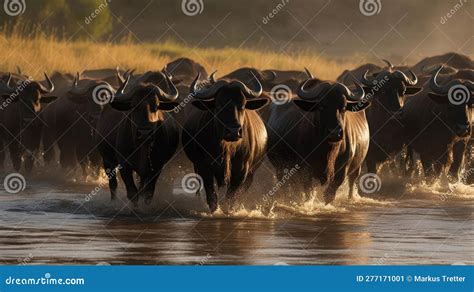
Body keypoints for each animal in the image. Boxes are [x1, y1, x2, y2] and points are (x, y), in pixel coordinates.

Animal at [99, 70, 181, 203]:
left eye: (156, 105)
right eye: (134, 105)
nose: (144, 133)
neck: (142, 146)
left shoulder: (156, 167)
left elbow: (147, 193)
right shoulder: (124, 165)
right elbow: (132, 192)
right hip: (107, 160)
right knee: (113, 184)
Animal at [182, 72, 270, 211]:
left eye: (243, 105)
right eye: (219, 104)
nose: (234, 131)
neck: (226, 147)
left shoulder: (241, 170)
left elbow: (230, 198)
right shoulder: (203, 167)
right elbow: (211, 195)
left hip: (251, 173)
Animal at [266, 70, 370, 204]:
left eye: (343, 107)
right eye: (321, 106)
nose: (334, 133)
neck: (328, 150)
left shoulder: (342, 170)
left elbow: (330, 194)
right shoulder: (303, 170)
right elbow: (307, 192)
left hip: (357, 168)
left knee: (352, 183)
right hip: (279, 167)